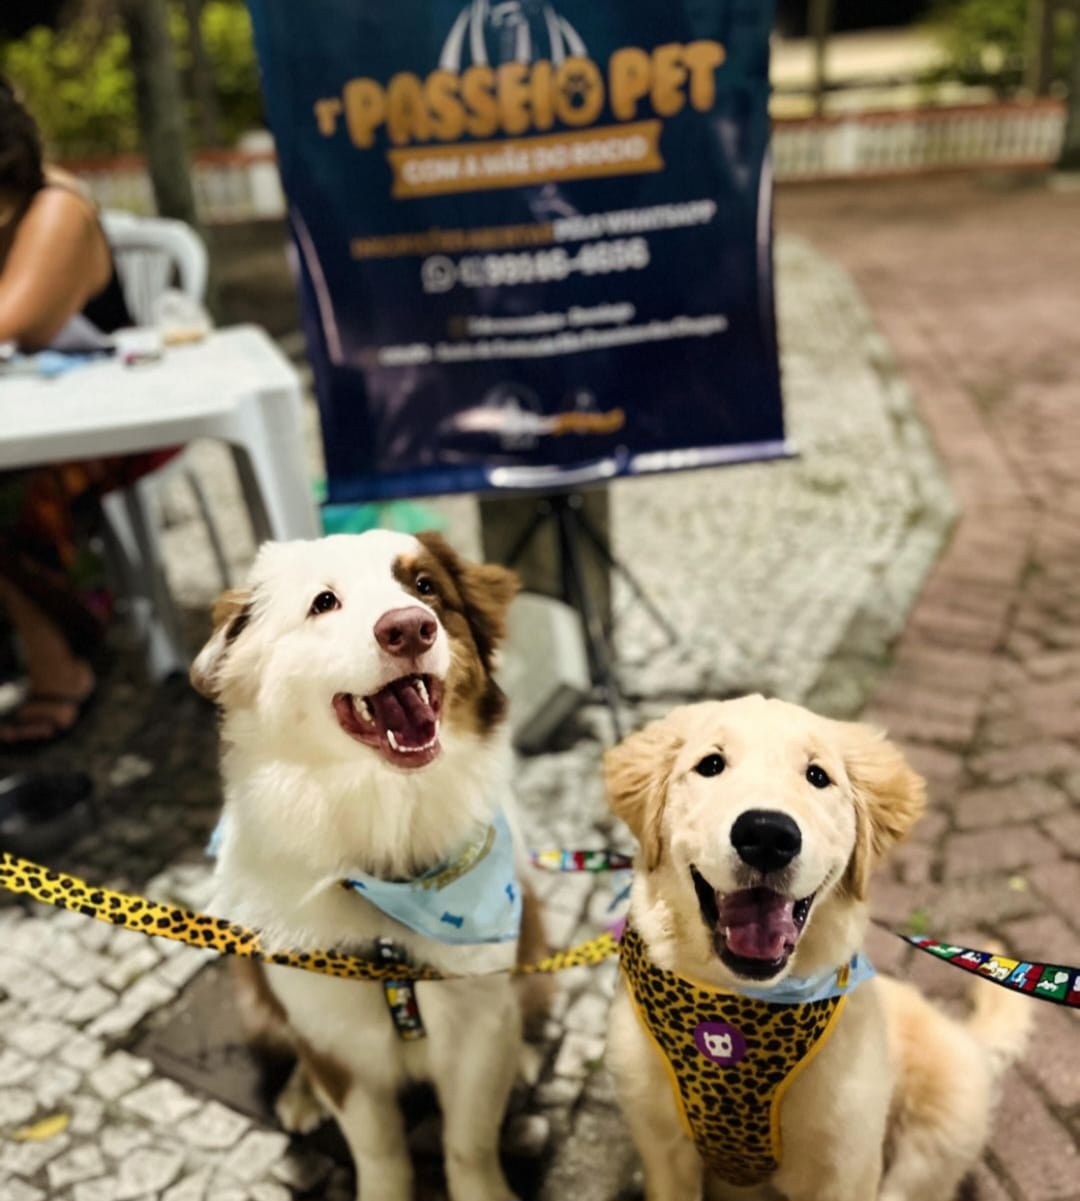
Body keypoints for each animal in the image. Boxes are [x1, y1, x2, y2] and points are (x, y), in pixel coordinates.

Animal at [191, 530, 545, 1201]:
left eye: (425, 586)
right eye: (324, 602)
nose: (408, 629)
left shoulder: (477, 1017)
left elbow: (469, 1141)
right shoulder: (332, 1032)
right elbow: (378, 1148)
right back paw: (300, 1096)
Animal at [603, 696, 1033, 1201]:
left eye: (817, 775)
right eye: (710, 765)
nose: (767, 835)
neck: (735, 1009)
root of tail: (967, 1039)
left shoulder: (844, 1163)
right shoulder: (662, 1147)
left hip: (936, 1138)